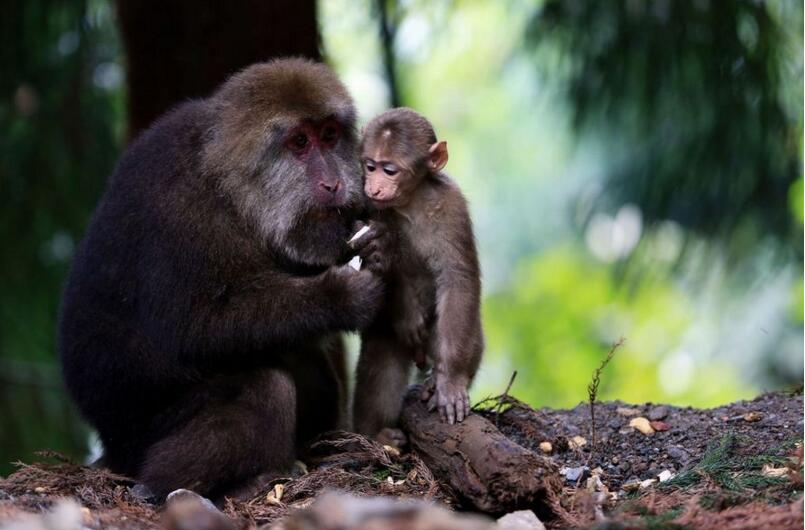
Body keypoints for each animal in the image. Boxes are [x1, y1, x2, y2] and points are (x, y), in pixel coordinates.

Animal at [59, 58, 392, 500]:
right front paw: (341, 296)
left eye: (329, 135)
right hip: (143, 434)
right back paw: (184, 485)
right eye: (299, 142)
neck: (231, 194)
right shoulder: (179, 209)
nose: (333, 183)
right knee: (265, 385)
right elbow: (191, 326)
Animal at [354, 107, 484, 442]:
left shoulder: (452, 206)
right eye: (370, 166)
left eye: (389, 170)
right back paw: (377, 434)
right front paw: (408, 313)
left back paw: (437, 381)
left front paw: (450, 380)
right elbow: (379, 265)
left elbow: (458, 278)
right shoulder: (366, 206)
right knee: (381, 361)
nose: (373, 186)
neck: (410, 203)